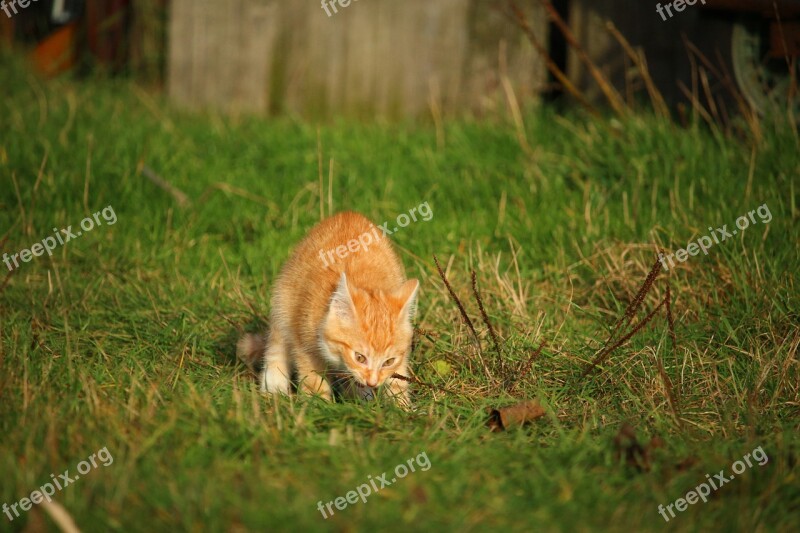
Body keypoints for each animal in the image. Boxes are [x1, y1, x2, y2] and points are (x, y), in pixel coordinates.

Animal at [238, 210, 418, 406]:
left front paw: (400, 407)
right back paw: (273, 387)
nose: (372, 382)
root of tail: (347, 213)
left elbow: (398, 380)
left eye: (388, 361)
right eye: (360, 357)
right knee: (276, 346)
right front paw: (318, 406)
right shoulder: (304, 341)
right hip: (283, 301)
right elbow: (314, 379)